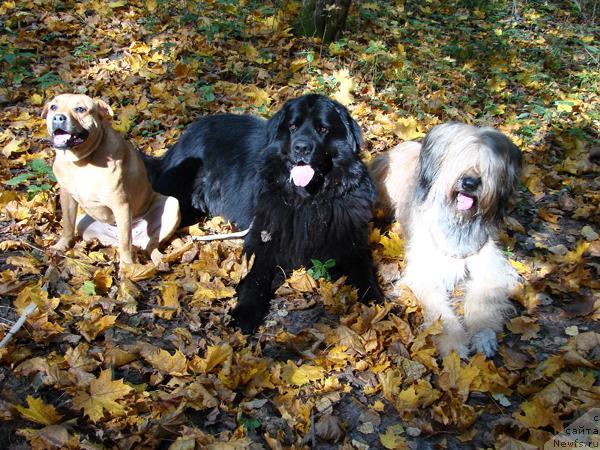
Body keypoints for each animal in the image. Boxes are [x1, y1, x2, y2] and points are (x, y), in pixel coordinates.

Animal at [42, 93, 180, 266]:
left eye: (80, 109)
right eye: (53, 107)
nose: (58, 117)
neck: (80, 162)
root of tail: (139, 241)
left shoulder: (121, 204)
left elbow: (125, 242)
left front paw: (127, 267)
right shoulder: (66, 197)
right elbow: (67, 225)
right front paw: (61, 246)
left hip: (171, 207)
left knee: (149, 244)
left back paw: (159, 260)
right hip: (84, 223)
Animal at [147, 95, 382, 332]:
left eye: (323, 129)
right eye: (292, 127)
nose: (301, 147)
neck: (308, 199)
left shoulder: (350, 239)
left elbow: (364, 272)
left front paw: (376, 307)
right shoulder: (262, 235)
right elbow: (255, 276)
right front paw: (245, 312)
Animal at [372, 123, 524, 358]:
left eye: (487, 165)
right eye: (460, 159)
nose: (470, 183)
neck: (459, 222)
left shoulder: (489, 266)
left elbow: (483, 299)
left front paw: (483, 335)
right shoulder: (425, 274)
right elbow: (440, 314)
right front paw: (453, 345)